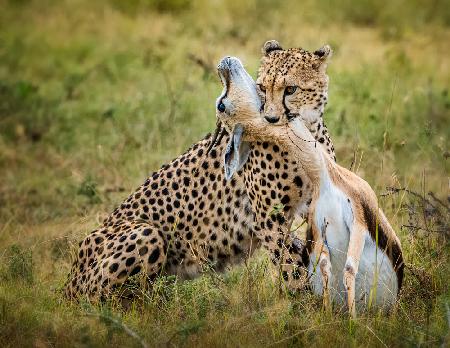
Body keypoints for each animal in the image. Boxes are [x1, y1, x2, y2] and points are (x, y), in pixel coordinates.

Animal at [214, 55, 404, 316]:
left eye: (221, 105)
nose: (224, 62)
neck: (324, 178)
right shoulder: (319, 230)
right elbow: (326, 267)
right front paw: (329, 314)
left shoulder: (358, 221)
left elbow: (349, 268)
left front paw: (353, 322)